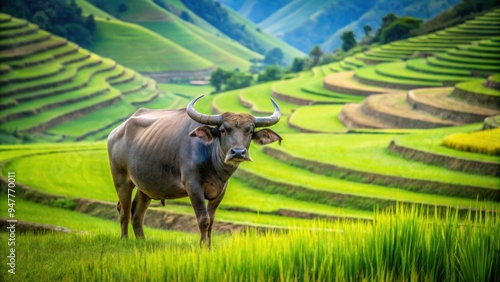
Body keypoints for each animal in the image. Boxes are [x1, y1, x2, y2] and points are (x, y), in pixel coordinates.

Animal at [107, 96, 282, 246]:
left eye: (250, 131)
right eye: (223, 130)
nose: (238, 152)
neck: (214, 165)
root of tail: (116, 132)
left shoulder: (220, 191)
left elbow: (211, 220)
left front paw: (209, 247)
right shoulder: (193, 186)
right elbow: (203, 219)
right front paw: (203, 246)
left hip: (146, 186)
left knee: (137, 213)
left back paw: (141, 241)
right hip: (121, 179)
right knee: (124, 210)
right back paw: (124, 239)